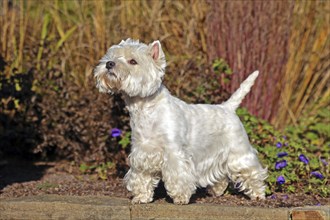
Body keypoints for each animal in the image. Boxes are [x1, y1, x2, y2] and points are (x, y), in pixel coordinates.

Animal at [93, 39, 268, 205]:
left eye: (133, 61)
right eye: (112, 56)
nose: (109, 64)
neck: (145, 109)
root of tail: (228, 107)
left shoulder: (174, 152)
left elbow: (178, 175)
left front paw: (180, 198)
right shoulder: (142, 152)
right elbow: (142, 177)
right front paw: (141, 197)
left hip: (239, 150)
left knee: (252, 172)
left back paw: (258, 195)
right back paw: (217, 191)